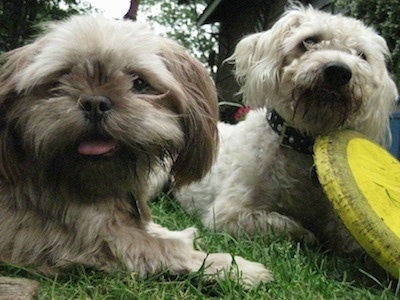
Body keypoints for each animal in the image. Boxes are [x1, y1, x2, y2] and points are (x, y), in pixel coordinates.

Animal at [0, 15, 270, 288]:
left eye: (140, 83)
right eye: (61, 79)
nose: (95, 103)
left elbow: (157, 231)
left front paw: (178, 233)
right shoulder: (92, 240)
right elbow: (169, 250)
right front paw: (236, 267)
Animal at [174, 5, 396, 252]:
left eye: (362, 56)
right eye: (308, 41)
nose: (339, 71)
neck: (300, 143)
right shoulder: (228, 213)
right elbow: (282, 223)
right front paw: (306, 234)